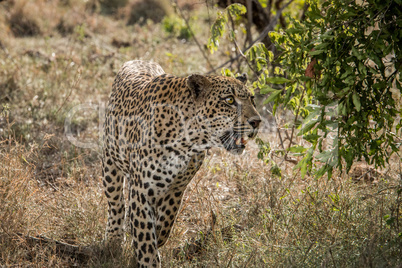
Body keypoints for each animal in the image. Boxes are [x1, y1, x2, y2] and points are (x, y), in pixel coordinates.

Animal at [102, 59, 262, 266]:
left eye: (252, 99)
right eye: (229, 100)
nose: (257, 122)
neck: (188, 140)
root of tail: (139, 60)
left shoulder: (177, 187)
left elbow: (165, 223)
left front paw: (154, 238)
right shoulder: (142, 189)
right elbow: (146, 238)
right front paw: (148, 259)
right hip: (110, 163)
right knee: (116, 203)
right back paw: (113, 239)